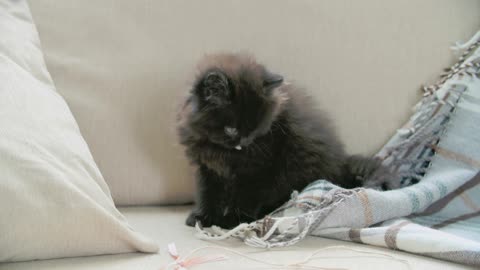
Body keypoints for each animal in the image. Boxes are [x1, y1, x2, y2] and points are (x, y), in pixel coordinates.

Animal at [178, 52, 392, 228]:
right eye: (231, 129)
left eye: (255, 129)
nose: (244, 142)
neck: (221, 151)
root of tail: (342, 167)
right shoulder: (206, 168)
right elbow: (206, 193)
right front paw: (202, 217)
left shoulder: (258, 169)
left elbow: (246, 196)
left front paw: (233, 220)